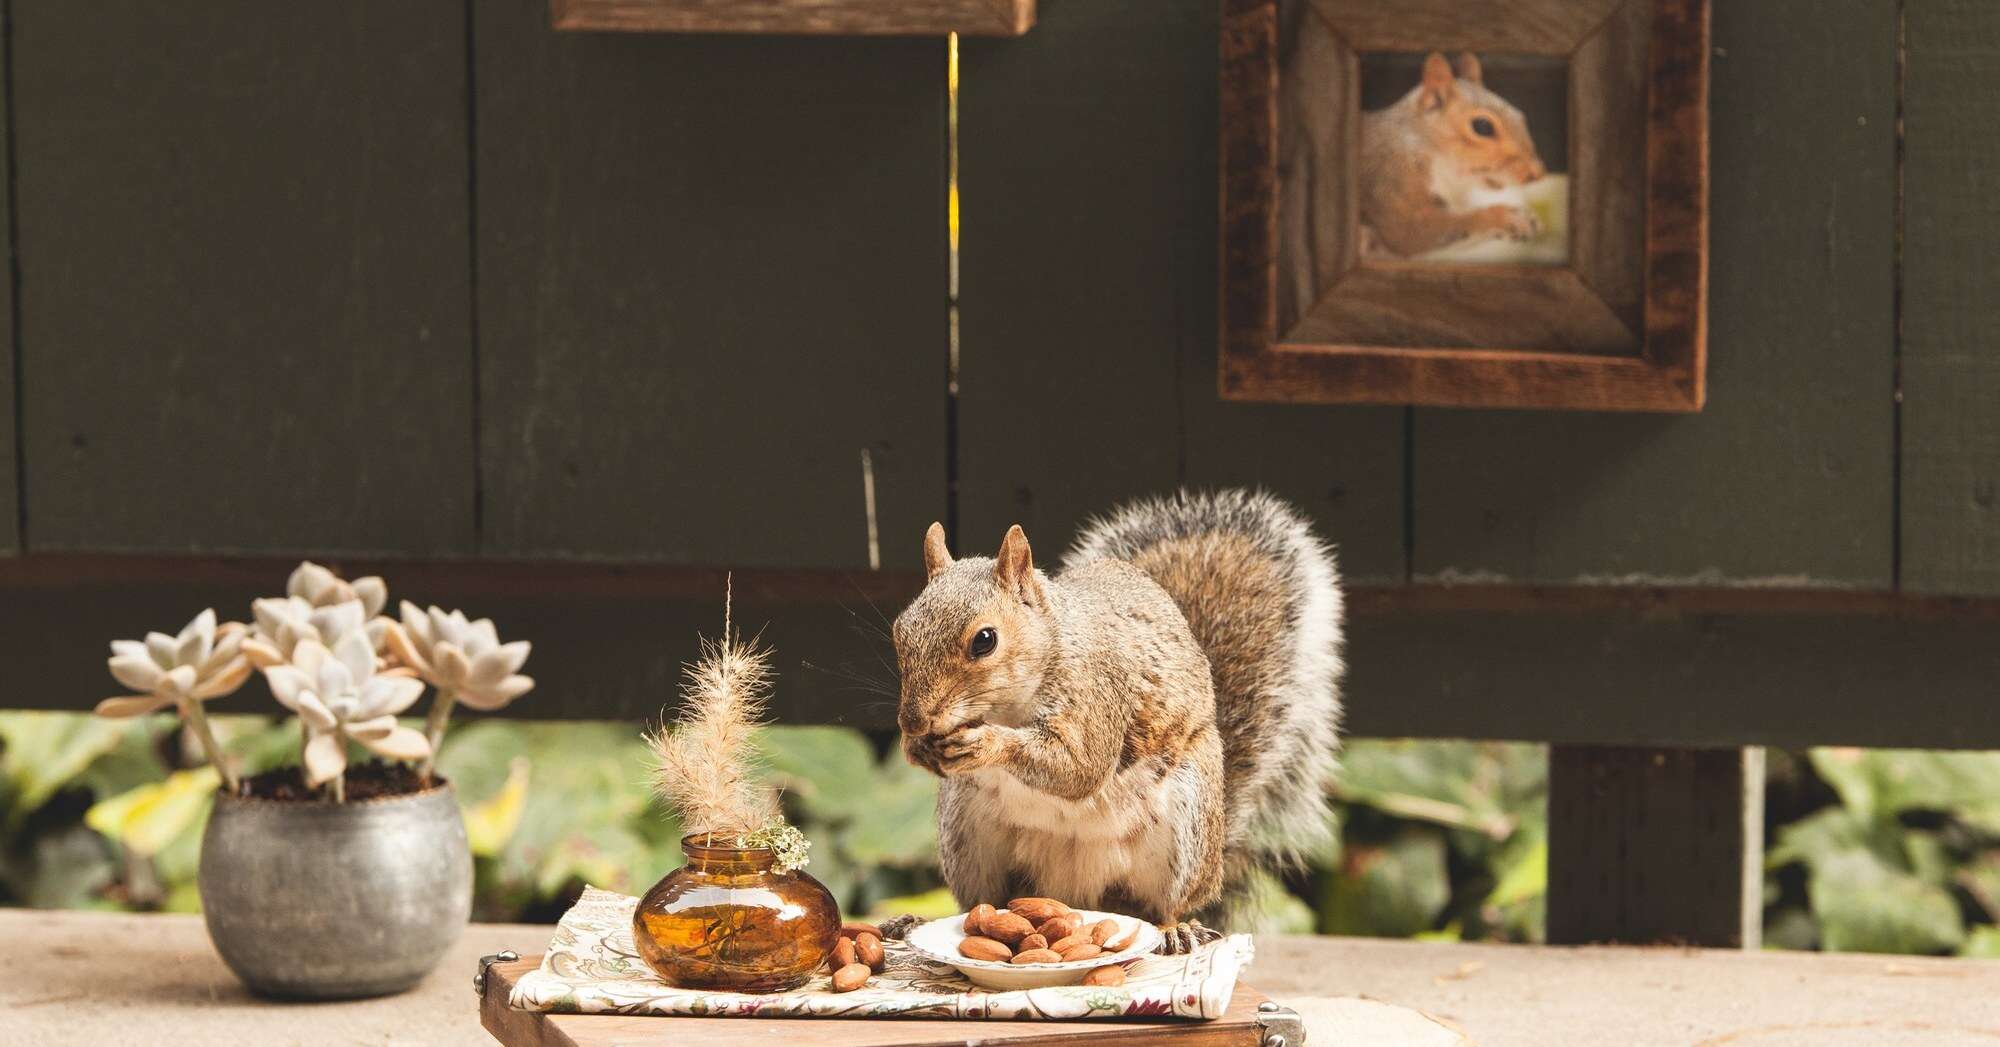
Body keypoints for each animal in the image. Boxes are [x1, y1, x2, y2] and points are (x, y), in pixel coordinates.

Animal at [892, 491, 1344, 947]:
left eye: (985, 640)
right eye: (899, 630)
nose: (913, 721)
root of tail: (1075, 893)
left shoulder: (1099, 697)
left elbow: (1079, 769)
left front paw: (987, 743)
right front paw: (916, 749)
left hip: (1187, 826)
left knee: (1165, 906)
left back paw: (1176, 931)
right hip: (966, 835)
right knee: (981, 901)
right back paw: (912, 924)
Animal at [1352, 50, 1552, 259]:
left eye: (1519, 115)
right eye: (1482, 127)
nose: (1537, 173)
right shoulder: (1389, 183)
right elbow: (1412, 233)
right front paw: (1507, 217)